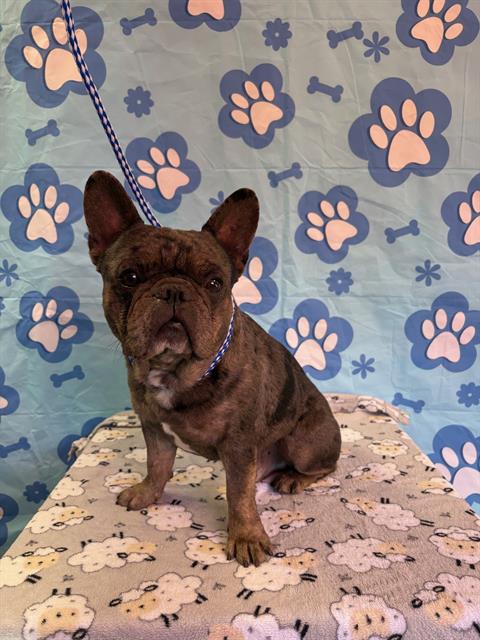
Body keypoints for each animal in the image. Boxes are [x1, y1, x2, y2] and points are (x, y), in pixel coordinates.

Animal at [83, 171, 341, 566]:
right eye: (129, 277)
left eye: (215, 283)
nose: (174, 290)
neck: (176, 370)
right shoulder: (154, 428)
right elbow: (157, 465)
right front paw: (147, 494)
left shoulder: (238, 444)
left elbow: (239, 494)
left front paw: (246, 536)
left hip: (304, 442)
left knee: (324, 467)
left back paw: (293, 479)